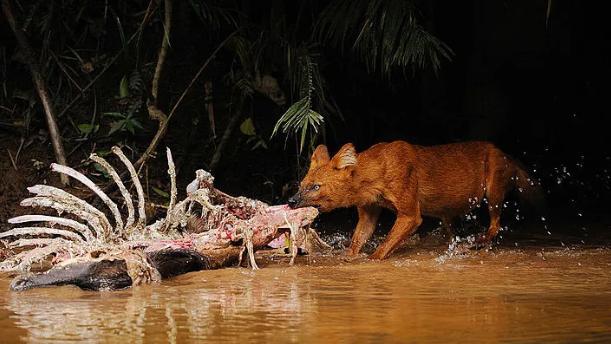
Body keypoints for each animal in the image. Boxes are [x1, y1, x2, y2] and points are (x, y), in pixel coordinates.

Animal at [290, 141, 544, 260]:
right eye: (301, 185)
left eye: (315, 187)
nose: (291, 201)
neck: (376, 173)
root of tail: (506, 154)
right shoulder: (369, 211)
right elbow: (357, 240)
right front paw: (347, 257)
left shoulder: (410, 214)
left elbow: (384, 247)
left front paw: (370, 260)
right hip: (449, 214)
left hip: (493, 190)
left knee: (495, 225)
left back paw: (474, 243)